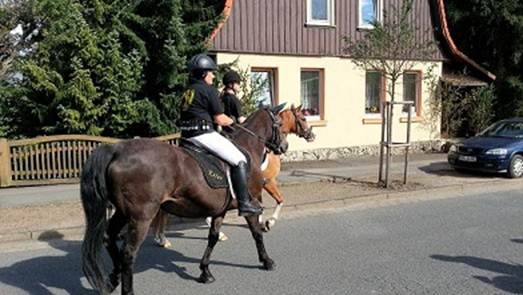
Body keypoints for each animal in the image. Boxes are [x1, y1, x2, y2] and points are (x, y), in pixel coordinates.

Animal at [80, 107, 288, 295]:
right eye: (278, 123)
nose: (284, 147)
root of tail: (117, 150)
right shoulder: (251, 203)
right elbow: (257, 233)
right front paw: (267, 261)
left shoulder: (219, 210)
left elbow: (213, 238)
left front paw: (205, 272)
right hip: (141, 217)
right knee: (129, 253)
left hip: (123, 212)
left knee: (109, 237)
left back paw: (113, 278)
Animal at [151, 105, 316, 249]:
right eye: (303, 118)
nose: (312, 135)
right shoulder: (267, 182)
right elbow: (279, 200)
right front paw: (269, 222)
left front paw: (261, 221)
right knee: (164, 212)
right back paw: (163, 238)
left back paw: (161, 238)